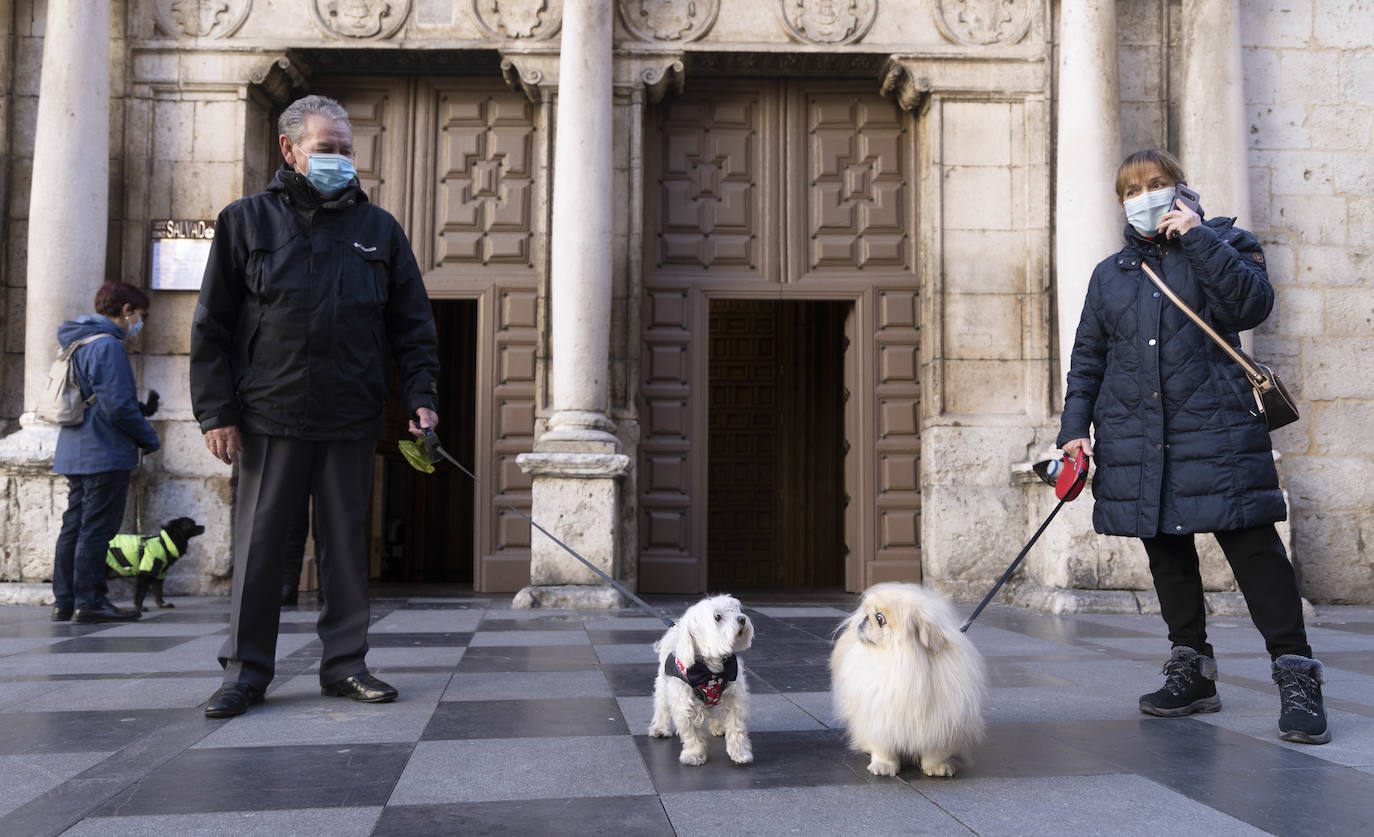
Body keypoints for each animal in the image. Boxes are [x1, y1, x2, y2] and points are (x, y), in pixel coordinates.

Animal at [648, 593, 758, 764]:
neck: (711, 670)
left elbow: (736, 726)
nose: (742, 619)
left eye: (735, 609)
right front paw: (693, 754)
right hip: (662, 686)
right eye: (717, 617)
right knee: (662, 706)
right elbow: (691, 733)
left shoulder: (735, 698)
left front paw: (740, 752)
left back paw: (718, 727)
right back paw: (660, 728)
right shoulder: (684, 704)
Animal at [829, 579, 983, 775]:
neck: (902, 667)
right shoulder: (879, 717)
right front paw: (884, 766)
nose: (864, 618)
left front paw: (937, 767)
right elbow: (882, 747)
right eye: (868, 613)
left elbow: (936, 751)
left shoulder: (943, 721)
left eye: (880, 618)